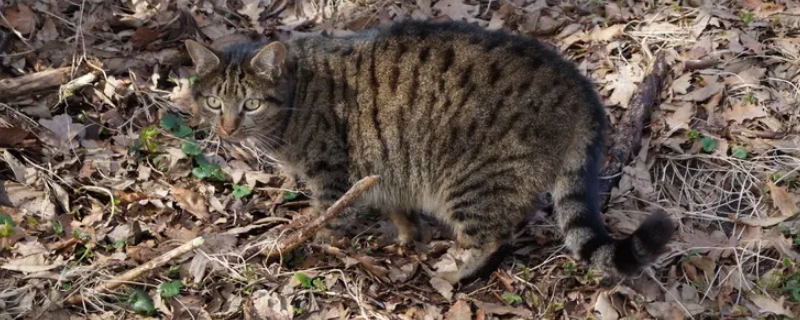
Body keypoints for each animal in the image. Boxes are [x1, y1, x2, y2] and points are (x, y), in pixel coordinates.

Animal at [184, 20, 672, 284]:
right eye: (214, 103)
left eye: (250, 104)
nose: (227, 128)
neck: (296, 97)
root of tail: (581, 88)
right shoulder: (384, 171)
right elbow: (399, 211)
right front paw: (403, 237)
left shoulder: (331, 175)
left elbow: (325, 218)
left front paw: (305, 241)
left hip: (474, 179)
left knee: (496, 237)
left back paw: (457, 271)